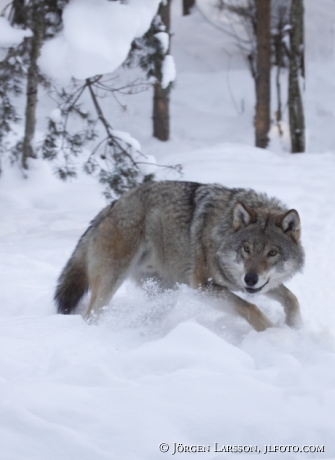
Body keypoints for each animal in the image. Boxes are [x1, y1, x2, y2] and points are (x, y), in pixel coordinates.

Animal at [55, 181, 304, 330]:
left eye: (272, 252)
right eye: (247, 249)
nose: (250, 278)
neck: (220, 233)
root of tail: (110, 206)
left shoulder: (253, 285)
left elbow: (292, 299)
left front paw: (296, 327)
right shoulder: (203, 287)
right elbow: (250, 308)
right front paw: (275, 336)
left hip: (164, 291)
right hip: (110, 283)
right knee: (90, 315)